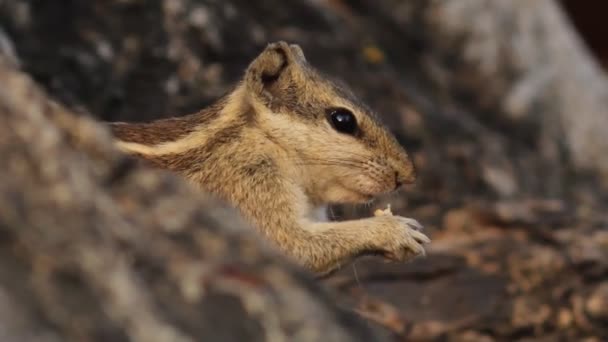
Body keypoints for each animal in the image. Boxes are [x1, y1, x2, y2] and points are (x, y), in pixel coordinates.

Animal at [110, 41, 432, 276]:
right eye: (342, 120)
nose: (408, 176)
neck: (265, 141)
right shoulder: (247, 190)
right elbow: (292, 246)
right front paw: (396, 231)